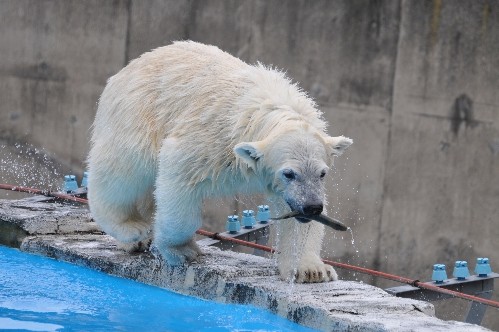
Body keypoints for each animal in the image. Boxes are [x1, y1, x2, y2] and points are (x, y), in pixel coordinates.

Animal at [88, 40, 354, 282]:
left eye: (322, 173)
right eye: (289, 173)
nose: (312, 207)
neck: (268, 111)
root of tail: (127, 68)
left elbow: (294, 216)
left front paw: (311, 270)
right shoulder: (216, 137)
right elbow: (178, 170)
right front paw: (181, 250)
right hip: (138, 112)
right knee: (125, 167)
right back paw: (133, 228)